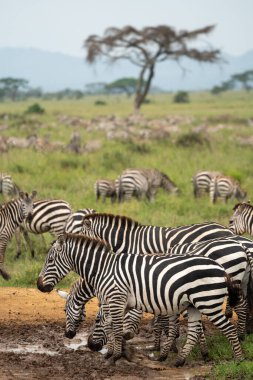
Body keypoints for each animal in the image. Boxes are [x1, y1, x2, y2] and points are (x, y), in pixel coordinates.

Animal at [37, 235, 243, 366]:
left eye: (50, 261)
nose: (39, 286)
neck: (103, 269)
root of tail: (220, 267)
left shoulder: (115, 298)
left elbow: (114, 327)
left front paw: (115, 356)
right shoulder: (119, 302)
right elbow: (114, 326)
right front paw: (121, 352)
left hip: (209, 302)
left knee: (229, 328)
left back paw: (238, 359)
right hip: (194, 305)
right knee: (193, 332)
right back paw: (179, 361)